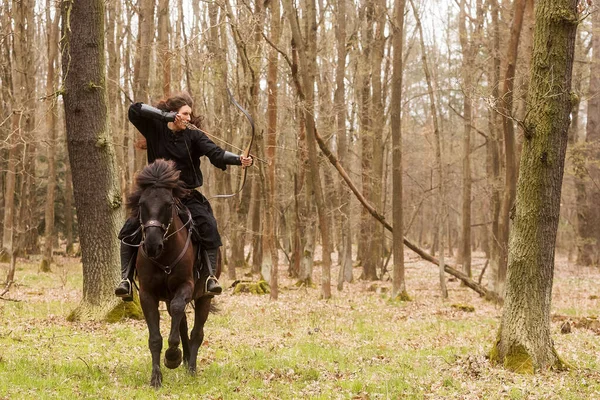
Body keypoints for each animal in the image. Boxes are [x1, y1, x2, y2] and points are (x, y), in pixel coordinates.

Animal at [127, 159, 220, 388]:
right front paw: (156, 377)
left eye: (168, 204)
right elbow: (155, 338)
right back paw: (184, 359)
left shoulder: (185, 287)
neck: (164, 256)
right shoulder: (148, 295)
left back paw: (191, 367)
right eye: (141, 204)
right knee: (183, 324)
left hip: (204, 296)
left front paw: (172, 356)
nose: (152, 245)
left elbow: (179, 315)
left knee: (197, 332)